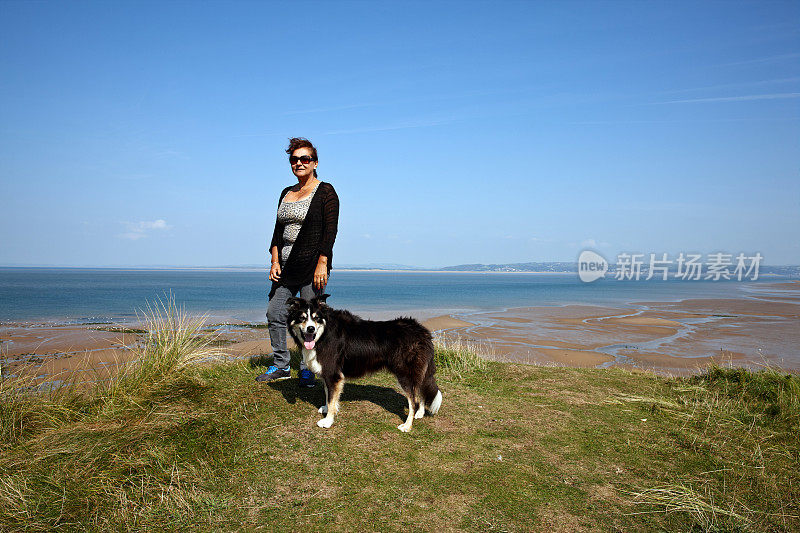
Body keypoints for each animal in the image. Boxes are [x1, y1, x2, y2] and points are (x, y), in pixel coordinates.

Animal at [286, 296, 444, 432]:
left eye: (316, 318)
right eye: (302, 318)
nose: (311, 328)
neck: (324, 334)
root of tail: (422, 331)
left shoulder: (333, 374)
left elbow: (331, 398)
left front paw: (328, 420)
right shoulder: (328, 373)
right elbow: (328, 394)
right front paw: (327, 409)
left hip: (405, 374)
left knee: (413, 400)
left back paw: (407, 425)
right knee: (420, 390)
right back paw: (420, 413)